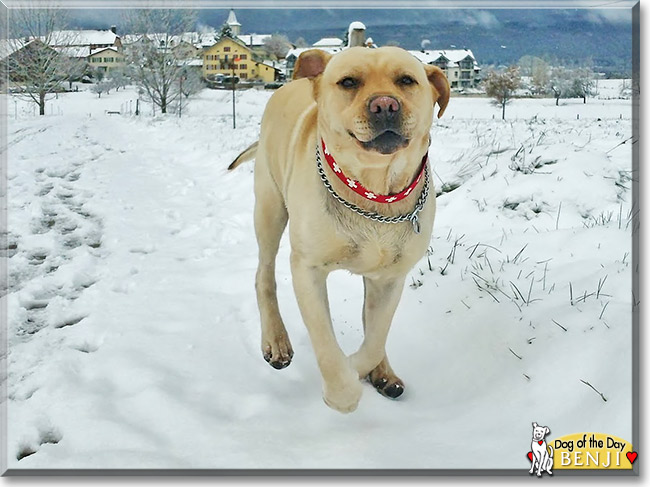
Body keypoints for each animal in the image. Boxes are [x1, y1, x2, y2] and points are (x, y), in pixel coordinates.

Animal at [228, 45, 446, 414]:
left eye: (406, 80)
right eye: (348, 82)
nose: (384, 105)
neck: (372, 191)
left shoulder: (391, 278)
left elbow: (375, 336)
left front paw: (362, 366)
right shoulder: (308, 269)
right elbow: (326, 343)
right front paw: (342, 390)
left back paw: (383, 372)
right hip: (270, 208)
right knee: (264, 275)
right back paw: (276, 340)